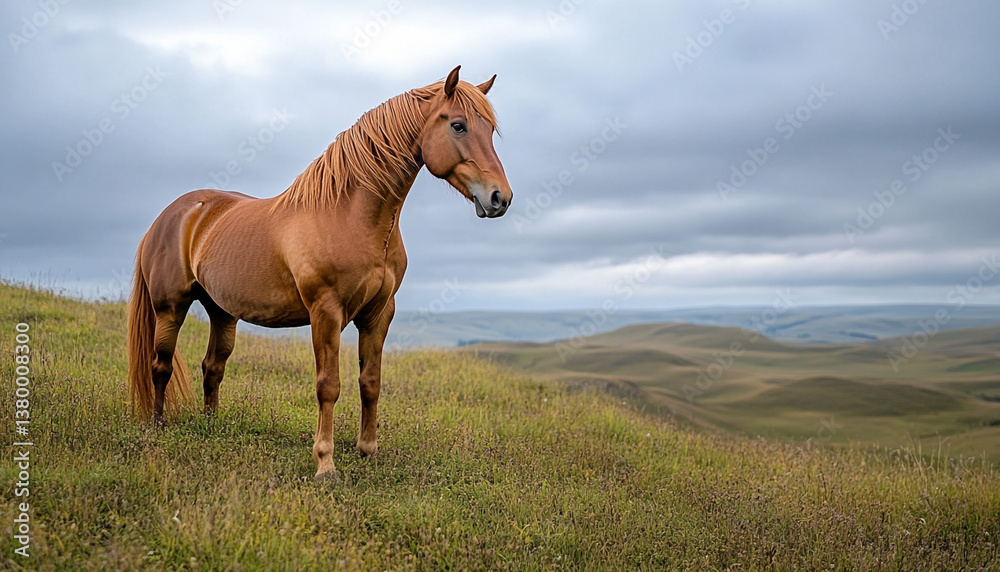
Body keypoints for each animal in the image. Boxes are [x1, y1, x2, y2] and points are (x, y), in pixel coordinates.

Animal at [126, 66, 512, 480]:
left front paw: (368, 450)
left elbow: (370, 382)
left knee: (212, 367)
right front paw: (325, 464)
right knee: (161, 365)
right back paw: (157, 426)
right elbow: (329, 386)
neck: (349, 216)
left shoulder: (379, 314)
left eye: (490, 130)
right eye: (458, 125)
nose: (500, 198)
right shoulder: (325, 313)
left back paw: (211, 426)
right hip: (170, 308)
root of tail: (172, 214)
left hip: (222, 312)